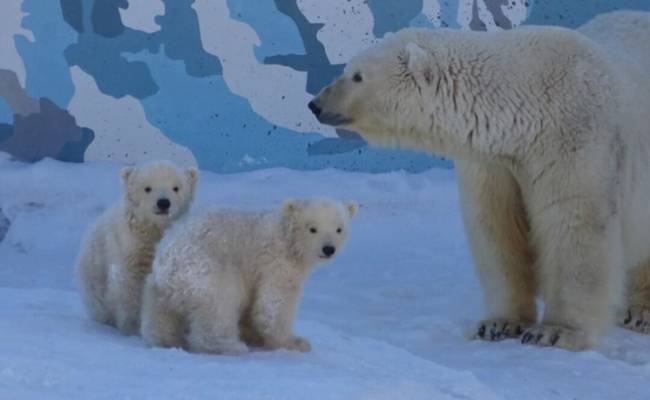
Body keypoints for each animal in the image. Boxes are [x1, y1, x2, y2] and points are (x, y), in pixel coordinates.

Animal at [308, 11, 648, 350]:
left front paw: (555, 331)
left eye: (357, 76)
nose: (315, 104)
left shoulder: (575, 140)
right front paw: (498, 324)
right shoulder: (494, 162)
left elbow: (575, 224)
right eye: (349, 70)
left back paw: (639, 313)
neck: (526, 105)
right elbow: (496, 229)